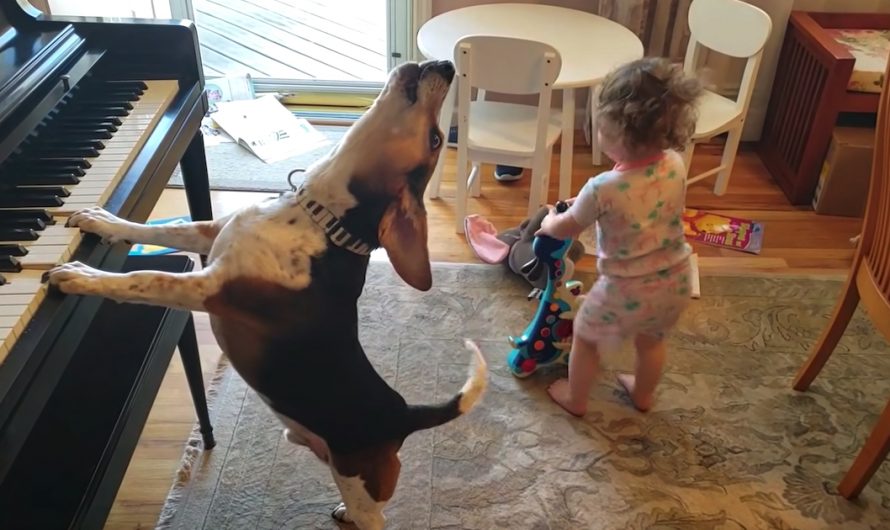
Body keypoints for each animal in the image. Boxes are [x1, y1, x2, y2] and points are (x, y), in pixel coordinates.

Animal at [41, 59, 486, 524]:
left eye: (436, 139)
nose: (448, 65)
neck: (317, 217)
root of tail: (401, 414)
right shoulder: (209, 234)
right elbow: (154, 231)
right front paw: (101, 221)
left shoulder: (209, 289)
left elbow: (144, 279)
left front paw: (80, 276)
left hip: (360, 482)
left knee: (376, 516)